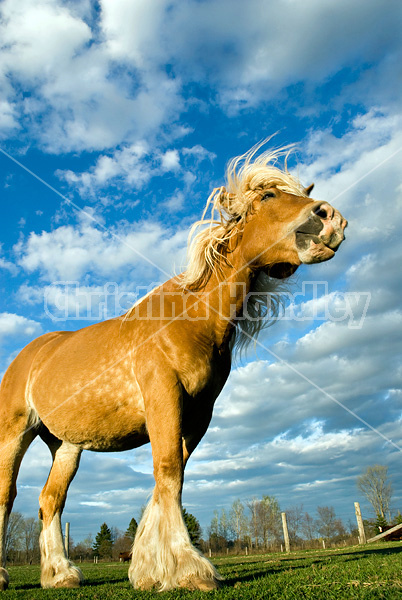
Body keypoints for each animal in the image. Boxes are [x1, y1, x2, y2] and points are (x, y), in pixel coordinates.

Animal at [0, 142, 346, 592]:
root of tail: (29, 354)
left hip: (66, 445)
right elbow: (167, 472)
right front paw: (189, 568)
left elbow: (171, 473)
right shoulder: (164, 397)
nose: (331, 219)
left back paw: (60, 573)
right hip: (14, 434)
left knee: (50, 500)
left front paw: (150, 568)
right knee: (6, 496)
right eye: (269, 196)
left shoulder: (198, 413)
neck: (190, 318)